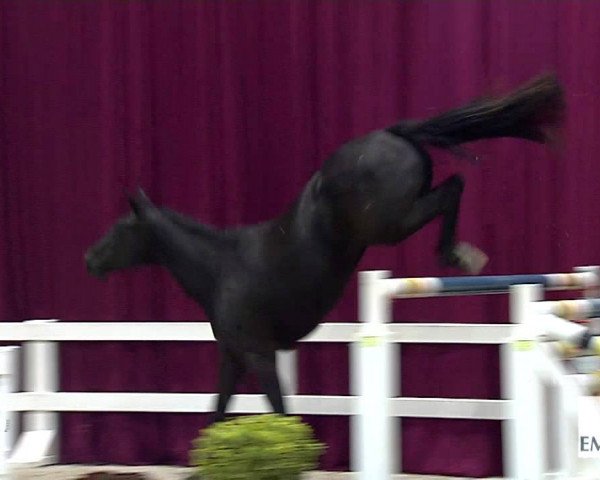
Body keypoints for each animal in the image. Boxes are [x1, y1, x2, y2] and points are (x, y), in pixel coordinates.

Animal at [86, 74, 564, 420]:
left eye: (120, 229)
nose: (90, 259)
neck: (221, 269)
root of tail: (391, 134)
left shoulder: (259, 355)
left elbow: (282, 416)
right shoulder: (233, 359)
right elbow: (217, 415)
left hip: (392, 224)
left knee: (453, 189)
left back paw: (457, 253)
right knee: (454, 185)